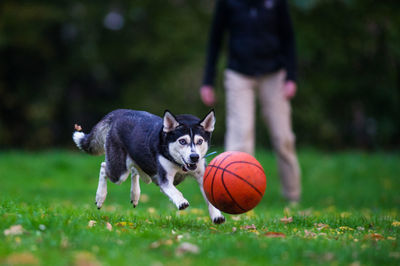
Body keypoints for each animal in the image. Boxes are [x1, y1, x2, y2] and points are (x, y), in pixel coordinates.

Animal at [72, 109, 225, 223]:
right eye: (182, 141)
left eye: (200, 141)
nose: (194, 157)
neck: (180, 165)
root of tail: (120, 112)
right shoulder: (165, 179)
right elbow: (175, 191)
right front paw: (181, 201)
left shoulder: (202, 175)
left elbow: (210, 198)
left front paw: (216, 215)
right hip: (119, 172)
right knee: (104, 167)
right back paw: (100, 197)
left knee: (134, 170)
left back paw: (135, 195)